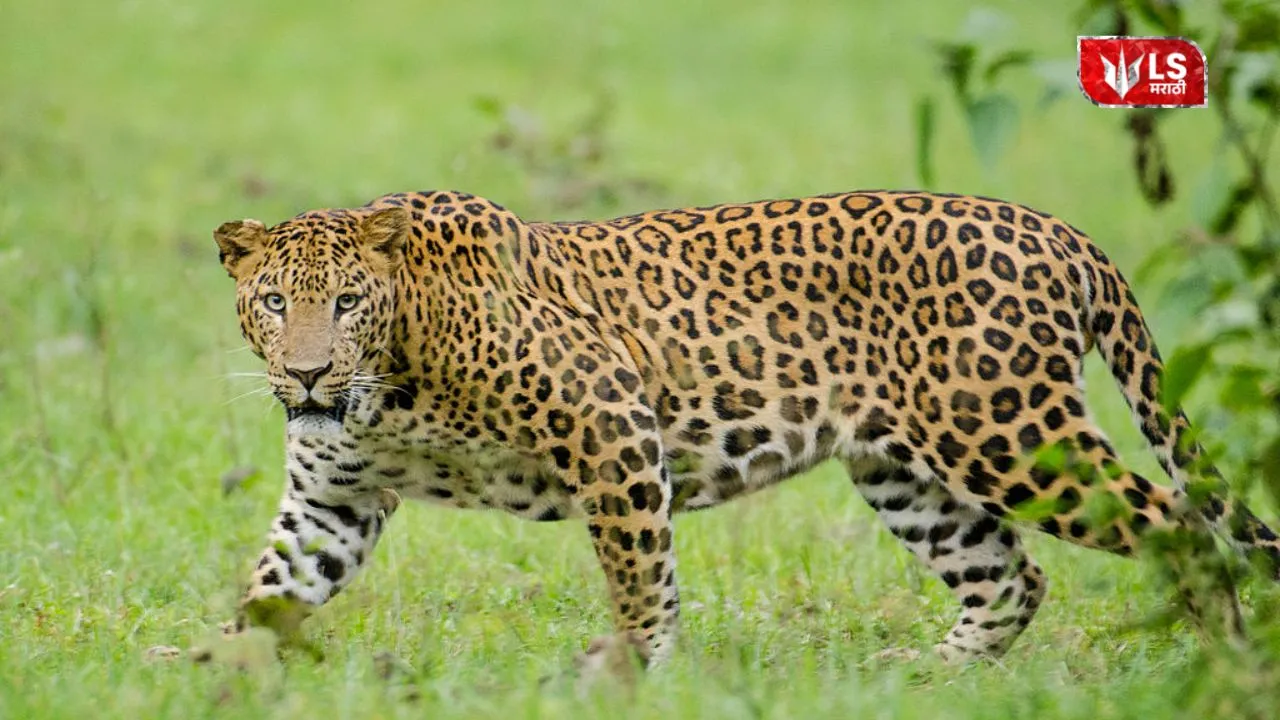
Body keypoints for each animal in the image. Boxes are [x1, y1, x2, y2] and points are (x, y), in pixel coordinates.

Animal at [212, 189, 1280, 669]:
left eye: (348, 302)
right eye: (274, 302)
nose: (307, 372)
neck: (388, 384)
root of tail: (1059, 230)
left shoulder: (610, 422)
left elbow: (638, 572)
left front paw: (631, 671)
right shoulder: (334, 498)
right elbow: (273, 586)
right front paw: (211, 670)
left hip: (1008, 433)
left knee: (1181, 528)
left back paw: (1228, 663)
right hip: (905, 470)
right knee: (1010, 576)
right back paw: (930, 679)